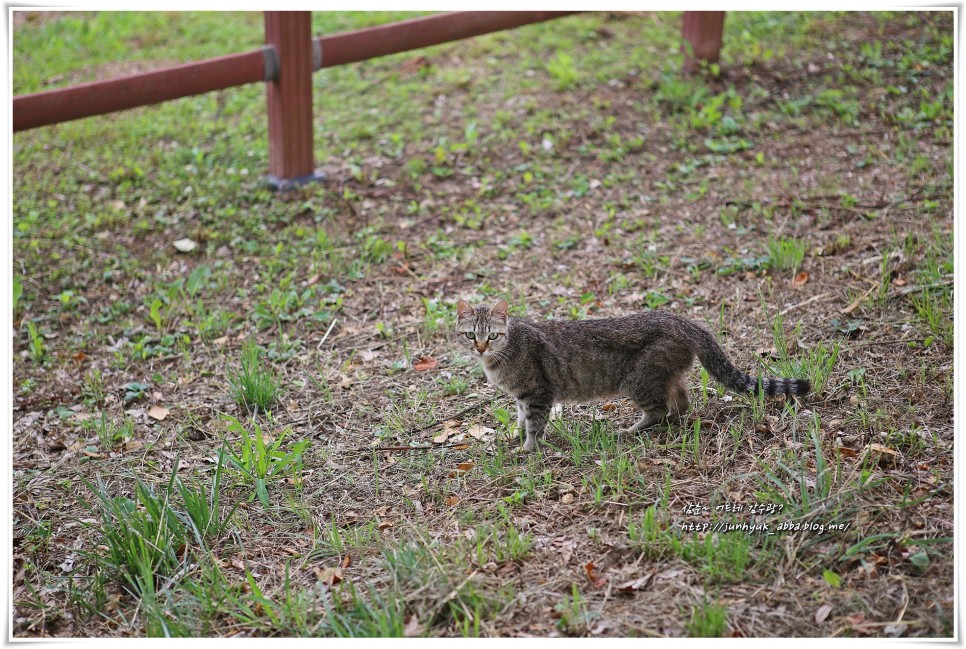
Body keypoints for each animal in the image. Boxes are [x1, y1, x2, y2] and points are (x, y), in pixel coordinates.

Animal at [458, 298, 812, 450]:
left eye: (492, 335)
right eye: (470, 335)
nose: (480, 347)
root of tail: (683, 320)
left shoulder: (537, 394)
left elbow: (534, 425)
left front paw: (527, 448)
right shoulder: (523, 397)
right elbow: (520, 419)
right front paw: (514, 436)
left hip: (637, 380)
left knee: (658, 410)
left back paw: (631, 430)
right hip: (663, 375)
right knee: (681, 402)